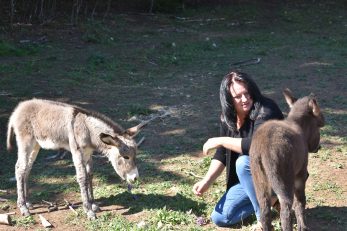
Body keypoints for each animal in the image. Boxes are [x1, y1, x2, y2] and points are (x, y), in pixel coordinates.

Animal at [251, 89, 324, 231]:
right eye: (319, 127)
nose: (318, 147)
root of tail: (262, 149)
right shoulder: (301, 173)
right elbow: (300, 202)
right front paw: (303, 226)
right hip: (283, 180)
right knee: (285, 212)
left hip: (259, 181)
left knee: (264, 212)